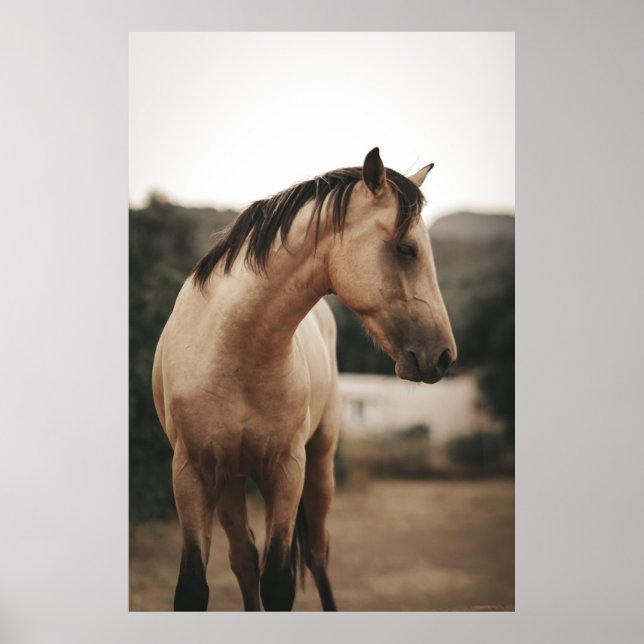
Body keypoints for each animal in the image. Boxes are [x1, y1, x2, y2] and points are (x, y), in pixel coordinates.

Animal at [151, 147, 457, 612]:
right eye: (406, 249)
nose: (444, 355)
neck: (233, 351)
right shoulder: (191, 473)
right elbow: (194, 587)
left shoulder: (287, 468)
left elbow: (279, 581)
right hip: (230, 481)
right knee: (244, 560)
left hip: (318, 462)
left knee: (316, 554)